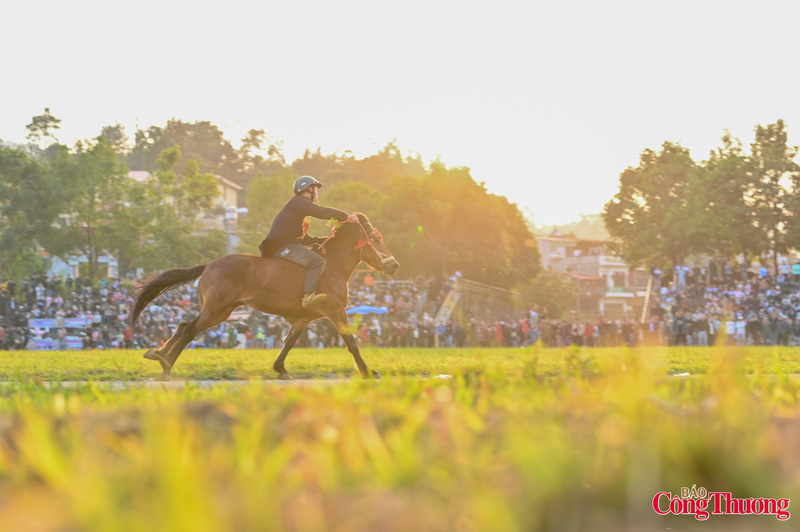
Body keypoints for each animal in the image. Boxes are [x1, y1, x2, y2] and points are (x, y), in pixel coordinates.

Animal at [128, 213, 399, 380]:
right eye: (376, 238)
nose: (394, 265)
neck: (331, 265)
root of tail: (208, 265)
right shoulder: (336, 311)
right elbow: (351, 343)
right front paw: (368, 372)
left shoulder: (304, 318)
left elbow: (288, 342)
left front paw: (280, 369)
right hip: (216, 310)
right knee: (189, 331)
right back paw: (166, 366)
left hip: (220, 311)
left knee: (184, 326)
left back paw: (159, 354)